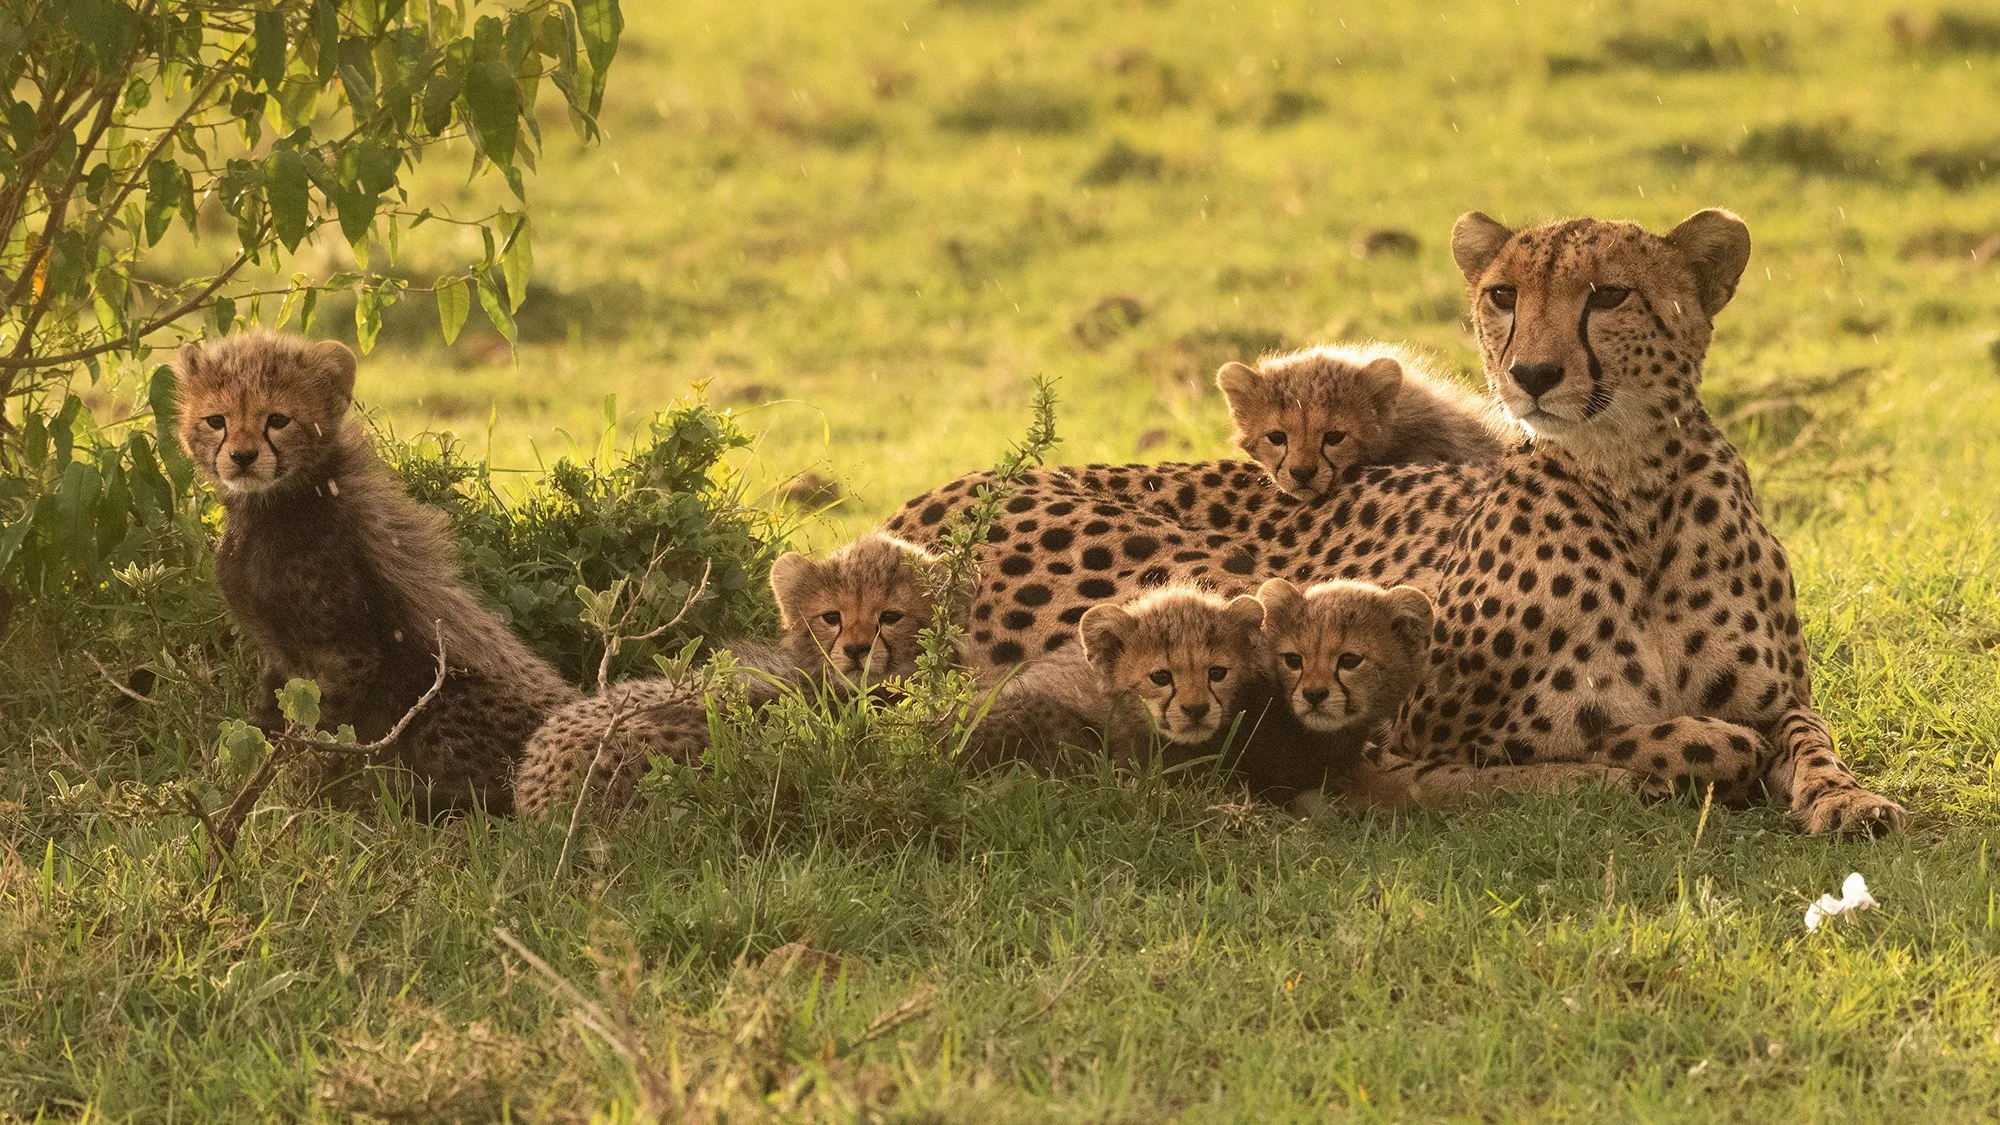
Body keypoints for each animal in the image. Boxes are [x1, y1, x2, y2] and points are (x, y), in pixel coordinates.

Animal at [176, 330, 576, 818]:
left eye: (278, 419)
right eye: (216, 420)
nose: (243, 456)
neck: (274, 508)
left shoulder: (348, 656)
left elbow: (317, 737)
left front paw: (289, 797)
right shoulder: (278, 653)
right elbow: (266, 719)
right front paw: (238, 782)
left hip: (439, 699)